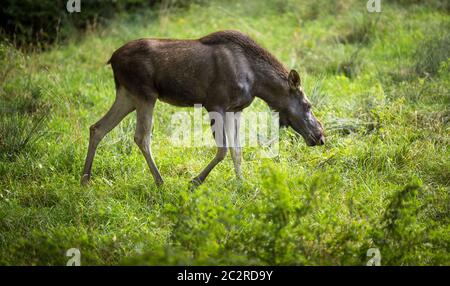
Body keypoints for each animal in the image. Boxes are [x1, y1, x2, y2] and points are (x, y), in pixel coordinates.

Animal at [81, 30, 326, 187]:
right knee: (141, 137)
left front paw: (241, 183)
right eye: (307, 104)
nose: (320, 136)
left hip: (127, 95)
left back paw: (85, 178)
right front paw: (195, 180)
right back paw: (160, 182)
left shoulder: (235, 109)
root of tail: (112, 59)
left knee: (97, 128)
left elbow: (237, 151)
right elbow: (223, 150)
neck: (258, 83)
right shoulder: (215, 104)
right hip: (145, 95)